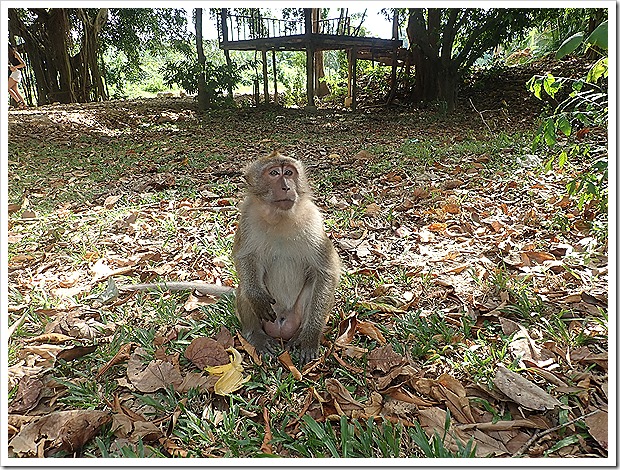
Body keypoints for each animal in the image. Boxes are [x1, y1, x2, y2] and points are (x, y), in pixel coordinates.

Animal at [231, 152, 340, 366]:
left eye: (289, 173)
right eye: (274, 173)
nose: (286, 187)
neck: (280, 217)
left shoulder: (313, 220)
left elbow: (325, 271)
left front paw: (310, 338)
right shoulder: (247, 217)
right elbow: (244, 256)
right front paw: (257, 297)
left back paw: (299, 336)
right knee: (244, 287)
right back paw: (256, 335)